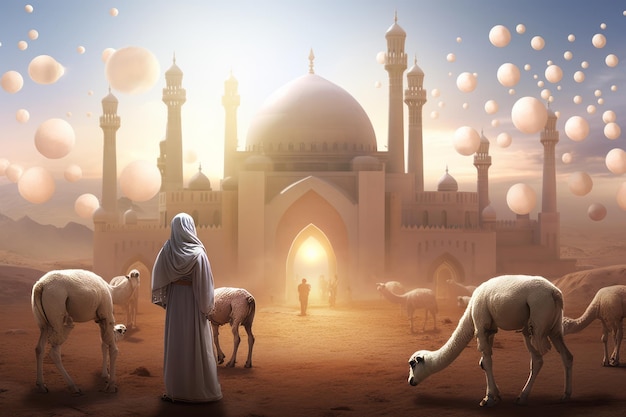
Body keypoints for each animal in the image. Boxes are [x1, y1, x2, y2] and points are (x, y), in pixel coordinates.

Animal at [404, 272, 572, 406]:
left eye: (412, 364)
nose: (411, 381)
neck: (470, 310)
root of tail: (555, 293)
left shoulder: (480, 325)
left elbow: (486, 362)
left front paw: (488, 399)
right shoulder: (490, 329)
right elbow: (484, 362)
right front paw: (496, 395)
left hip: (537, 319)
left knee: (538, 358)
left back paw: (523, 397)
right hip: (553, 327)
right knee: (566, 355)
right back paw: (565, 395)